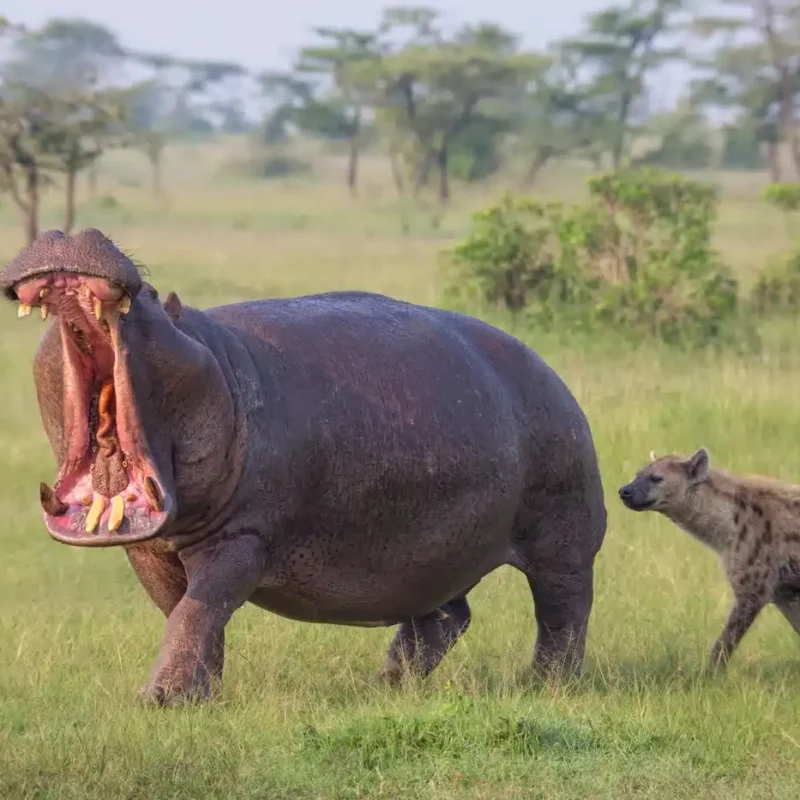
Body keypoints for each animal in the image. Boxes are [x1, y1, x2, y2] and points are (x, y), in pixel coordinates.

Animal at [1, 228, 607, 706]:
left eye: (150, 293)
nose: (70, 229)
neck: (211, 360)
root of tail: (549, 369)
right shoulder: (147, 550)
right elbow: (189, 613)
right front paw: (199, 695)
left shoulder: (244, 537)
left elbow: (201, 606)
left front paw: (161, 700)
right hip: (433, 549)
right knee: (442, 617)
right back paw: (385, 686)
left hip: (563, 534)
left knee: (563, 609)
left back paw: (547, 685)